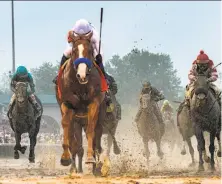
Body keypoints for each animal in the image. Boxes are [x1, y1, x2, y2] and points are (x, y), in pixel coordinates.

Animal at [56, 30, 107, 174]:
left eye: (90, 50)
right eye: (74, 51)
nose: (82, 75)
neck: (80, 85)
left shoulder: (94, 102)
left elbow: (91, 129)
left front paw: (90, 159)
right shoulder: (67, 103)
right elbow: (66, 125)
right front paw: (65, 158)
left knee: (97, 138)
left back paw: (97, 166)